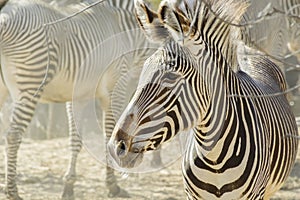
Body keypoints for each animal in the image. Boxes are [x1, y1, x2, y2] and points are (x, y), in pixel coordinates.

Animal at [0, 0, 155, 200]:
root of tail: (5, 15)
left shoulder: (79, 96)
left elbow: (75, 140)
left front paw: (69, 187)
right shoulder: (114, 89)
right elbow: (110, 134)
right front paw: (112, 186)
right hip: (30, 85)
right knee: (13, 136)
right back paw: (12, 191)